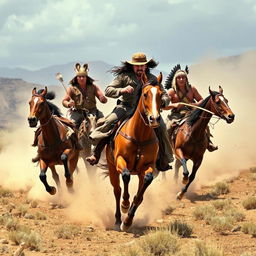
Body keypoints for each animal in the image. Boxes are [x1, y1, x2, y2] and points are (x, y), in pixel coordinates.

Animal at [106, 73, 164, 231]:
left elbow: (141, 194)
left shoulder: (147, 167)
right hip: (112, 168)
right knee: (117, 190)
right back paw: (117, 219)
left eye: (161, 95)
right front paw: (125, 205)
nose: (154, 119)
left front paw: (128, 221)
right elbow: (125, 176)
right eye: (145, 94)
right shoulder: (120, 160)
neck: (139, 137)